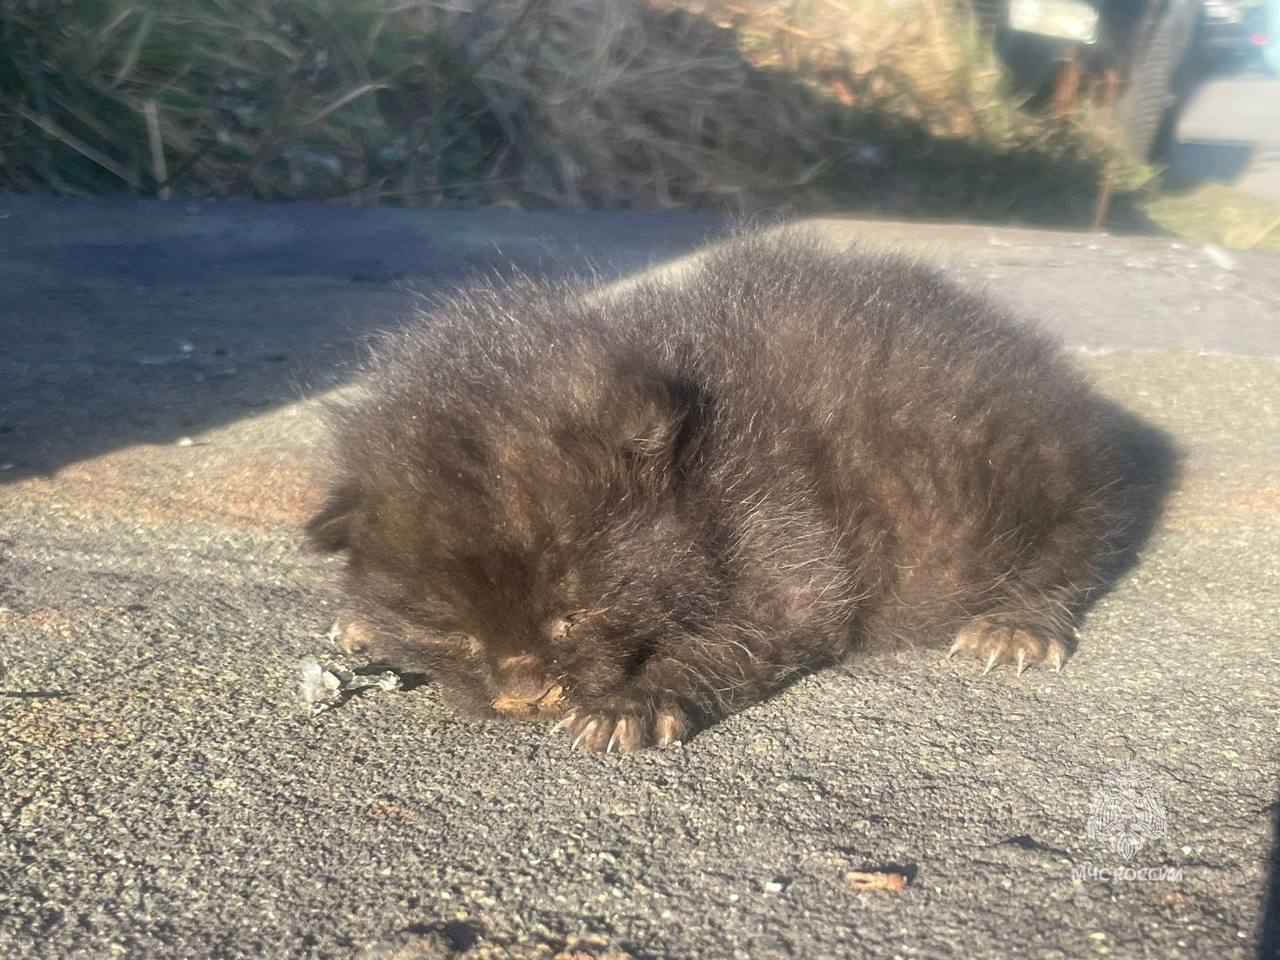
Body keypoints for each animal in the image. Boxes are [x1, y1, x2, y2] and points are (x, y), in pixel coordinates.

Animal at [312, 231, 1131, 752]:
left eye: (576, 615)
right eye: (450, 630)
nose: (523, 694)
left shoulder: (783, 530)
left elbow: (739, 636)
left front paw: (634, 703)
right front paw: (360, 620)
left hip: (1044, 477)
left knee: (1069, 555)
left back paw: (1016, 626)